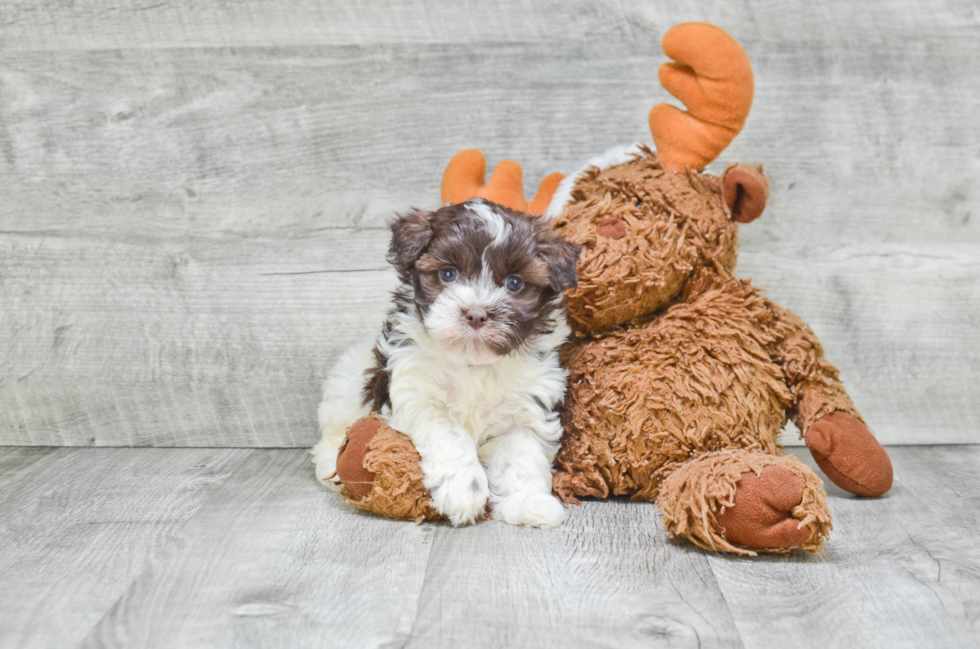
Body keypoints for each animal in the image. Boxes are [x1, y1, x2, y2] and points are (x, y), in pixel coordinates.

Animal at [310, 197, 580, 528]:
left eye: (514, 283)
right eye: (449, 274)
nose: (476, 314)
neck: (471, 362)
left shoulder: (527, 405)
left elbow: (522, 452)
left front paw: (529, 502)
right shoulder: (416, 392)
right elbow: (451, 434)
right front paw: (464, 491)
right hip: (347, 383)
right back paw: (330, 463)